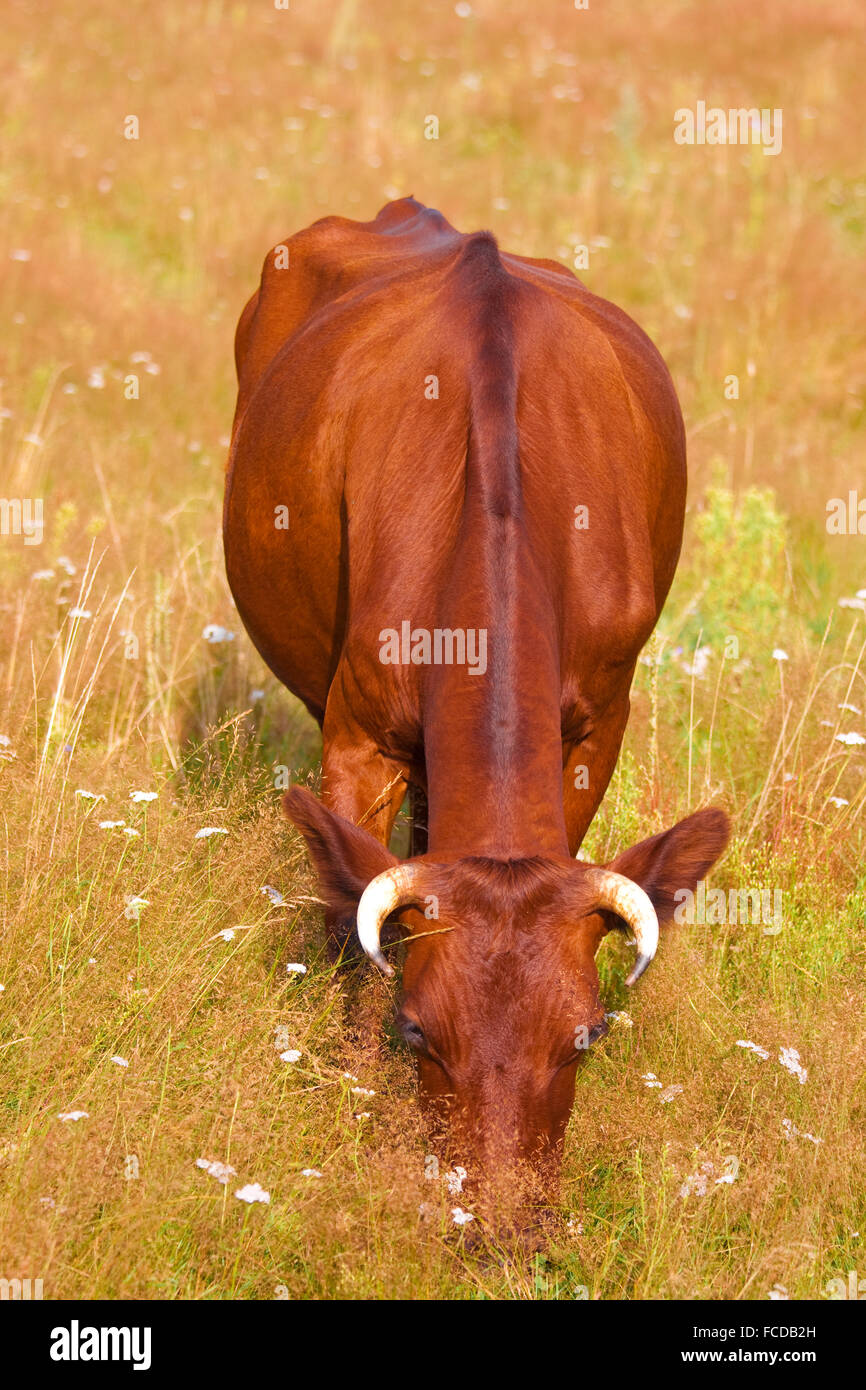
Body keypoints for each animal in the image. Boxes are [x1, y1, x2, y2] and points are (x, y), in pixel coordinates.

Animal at [223, 197, 728, 1233]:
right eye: (419, 1032)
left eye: (586, 1036)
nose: (497, 1226)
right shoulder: (357, 735)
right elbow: (352, 935)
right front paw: (353, 1096)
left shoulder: (600, 721)